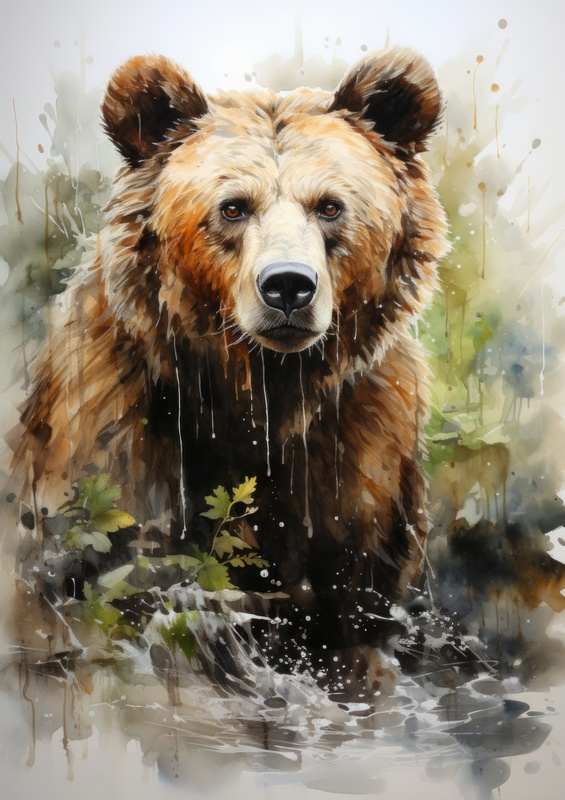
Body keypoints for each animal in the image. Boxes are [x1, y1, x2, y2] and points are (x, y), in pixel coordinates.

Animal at [12, 48, 448, 693]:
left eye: (330, 206)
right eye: (234, 207)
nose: (288, 285)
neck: (258, 389)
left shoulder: (363, 455)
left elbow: (356, 596)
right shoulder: (116, 436)